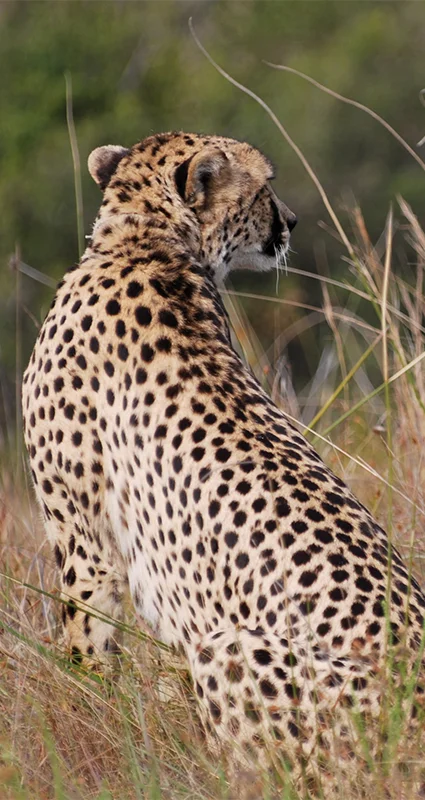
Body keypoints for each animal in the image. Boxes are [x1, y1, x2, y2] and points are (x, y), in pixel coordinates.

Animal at [22, 131, 425, 795]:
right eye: (263, 188)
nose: (291, 221)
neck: (147, 243)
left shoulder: (86, 543)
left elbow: (87, 652)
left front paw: (85, 727)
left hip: (230, 649)